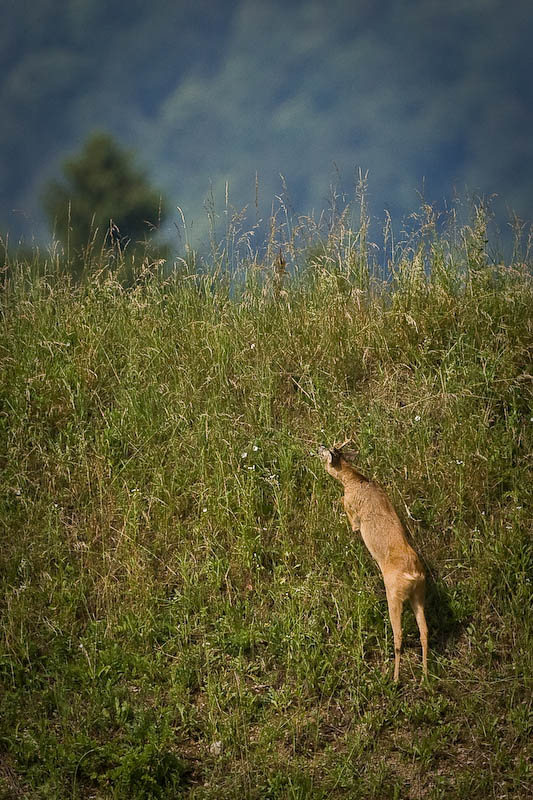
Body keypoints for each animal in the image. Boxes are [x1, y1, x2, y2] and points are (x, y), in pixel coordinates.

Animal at [316, 444, 428, 680]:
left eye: (327, 451)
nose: (318, 447)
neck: (354, 481)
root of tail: (414, 574)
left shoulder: (351, 511)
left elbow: (350, 520)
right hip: (419, 593)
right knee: (424, 631)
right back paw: (425, 675)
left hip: (394, 594)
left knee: (399, 635)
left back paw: (394, 679)